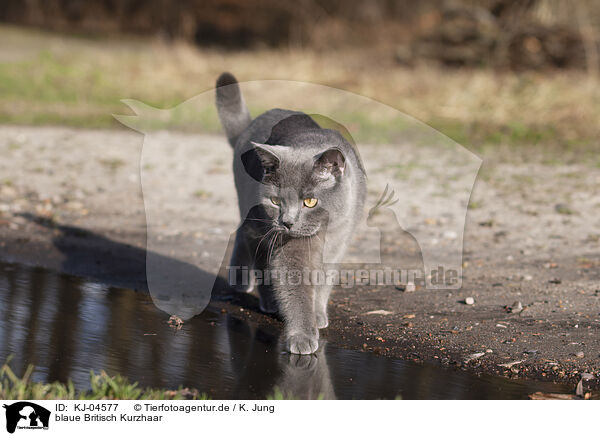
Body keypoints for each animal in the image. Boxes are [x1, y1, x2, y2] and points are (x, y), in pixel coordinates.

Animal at [216, 72, 366, 354]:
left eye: (310, 201)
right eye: (276, 201)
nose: (287, 222)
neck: (325, 231)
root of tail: (250, 125)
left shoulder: (340, 241)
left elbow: (323, 280)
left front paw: (317, 314)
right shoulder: (289, 246)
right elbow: (295, 285)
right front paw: (302, 336)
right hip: (256, 218)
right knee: (255, 249)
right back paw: (261, 295)